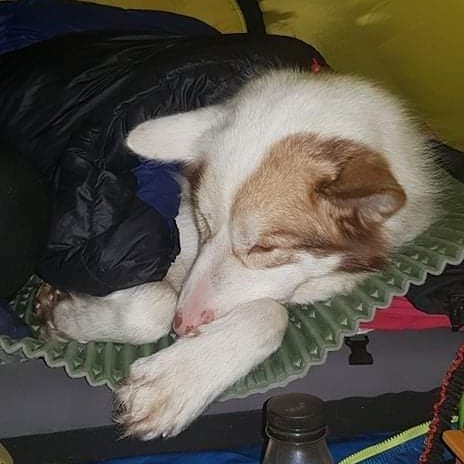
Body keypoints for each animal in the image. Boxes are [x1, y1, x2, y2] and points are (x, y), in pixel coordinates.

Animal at [39, 69, 442, 440]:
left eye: (264, 247)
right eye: (204, 221)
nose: (183, 326)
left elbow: (272, 312)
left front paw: (177, 380)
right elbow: (153, 306)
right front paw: (66, 316)